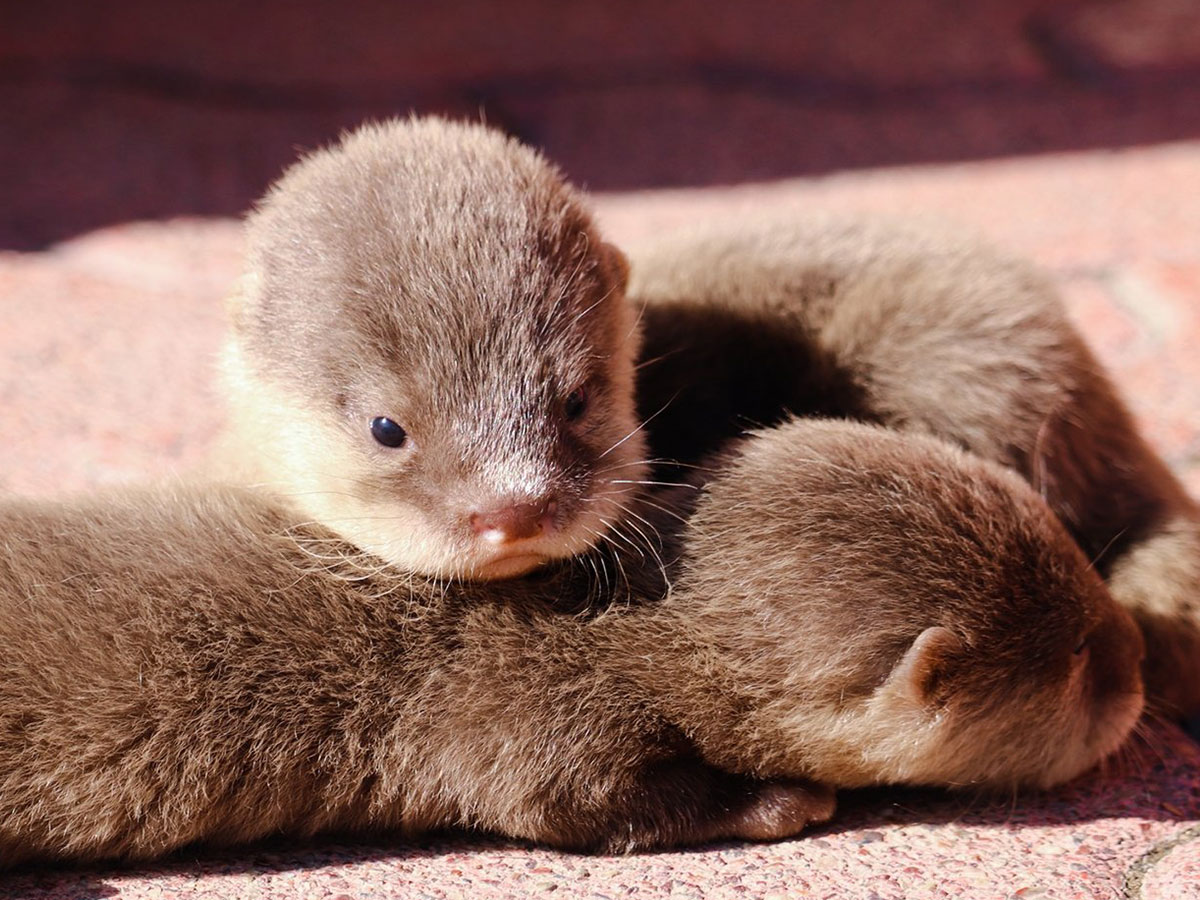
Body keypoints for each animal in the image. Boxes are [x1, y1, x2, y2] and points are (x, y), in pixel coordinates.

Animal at [0, 422, 1142, 868]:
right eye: (1080, 666)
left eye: (1088, 576)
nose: (1136, 658)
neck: (621, 630)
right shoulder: (538, 720)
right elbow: (572, 806)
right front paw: (788, 802)